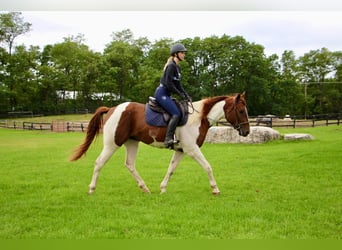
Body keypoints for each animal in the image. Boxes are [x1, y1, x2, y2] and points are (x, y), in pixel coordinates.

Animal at [71, 92, 250, 195]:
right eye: (241, 111)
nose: (247, 132)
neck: (200, 118)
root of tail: (112, 109)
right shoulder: (192, 149)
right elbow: (208, 166)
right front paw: (215, 188)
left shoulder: (181, 150)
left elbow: (171, 169)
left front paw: (163, 188)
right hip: (112, 144)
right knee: (99, 163)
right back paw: (91, 189)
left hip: (131, 143)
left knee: (129, 164)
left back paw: (144, 188)